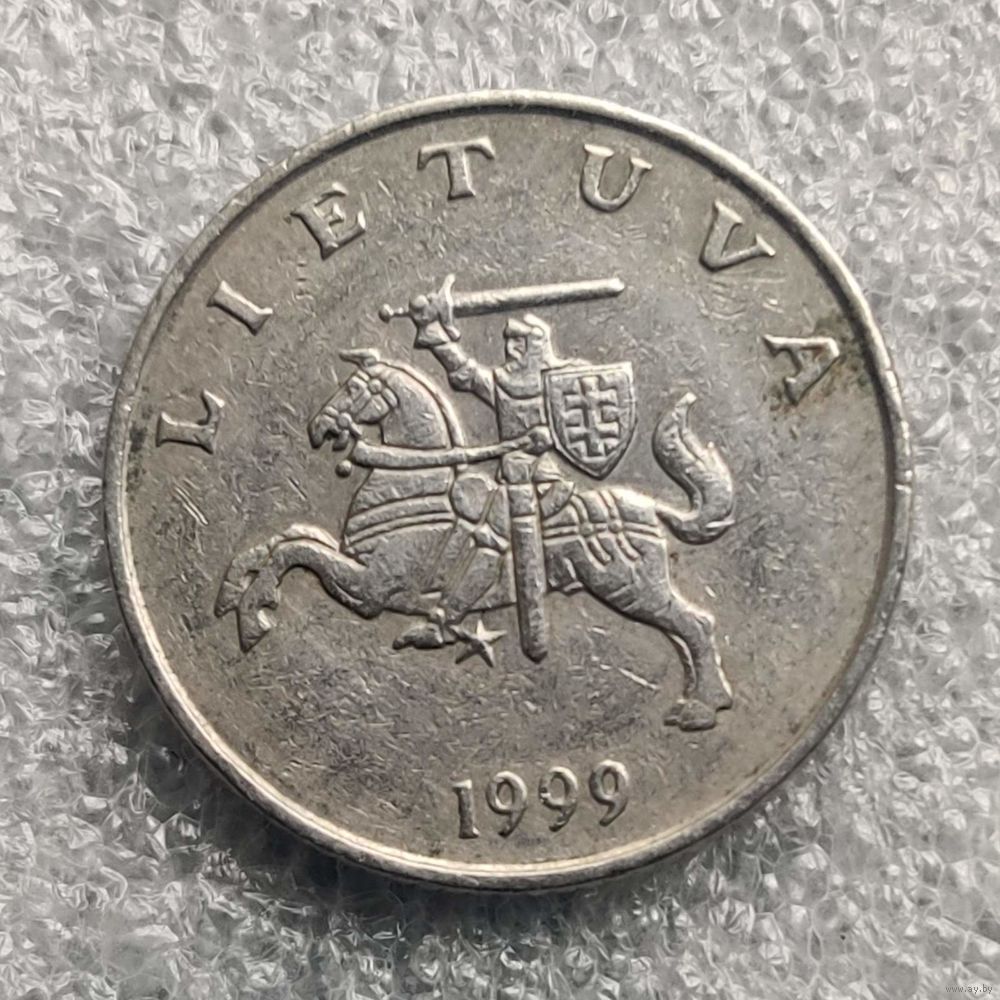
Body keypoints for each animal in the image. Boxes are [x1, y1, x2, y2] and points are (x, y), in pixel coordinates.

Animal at [215, 349, 736, 731]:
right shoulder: (356, 571)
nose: (318, 427)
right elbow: (290, 537)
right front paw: (232, 589)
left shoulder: (373, 589)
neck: (415, 483)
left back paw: (700, 709)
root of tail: (652, 506)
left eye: (355, 388)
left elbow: (297, 551)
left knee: (697, 626)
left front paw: (253, 616)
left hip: (629, 587)